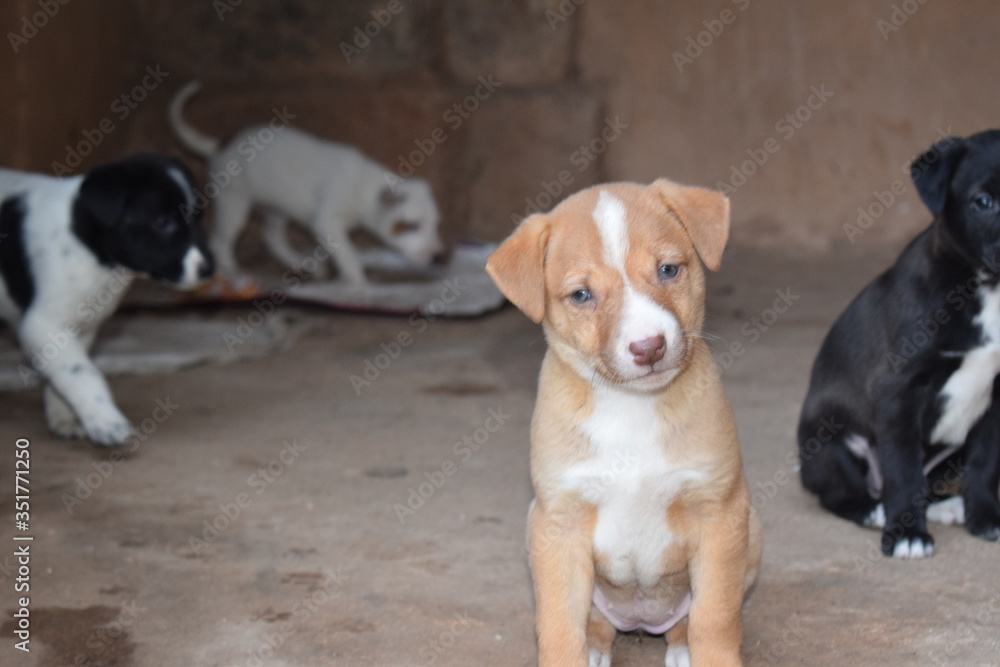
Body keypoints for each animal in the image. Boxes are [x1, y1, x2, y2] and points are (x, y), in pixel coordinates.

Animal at [170, 81, 444, 284]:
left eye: (435, 224)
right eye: (411, 226)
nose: (437, 258)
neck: (368, 188)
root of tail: (219, 148)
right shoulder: (326, 222)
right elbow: (348, 254)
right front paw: (358, 282)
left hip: (275, 209)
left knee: (272, 238)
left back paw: (301, 264)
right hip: (234, 204)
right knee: (220, 242)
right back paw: (231, 271)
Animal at [488, 180, 760, 664]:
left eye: (668, 269)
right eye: (581, 295)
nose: (648, 346)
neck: (632, 406)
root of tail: (642, 624)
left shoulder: (720, 511)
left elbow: (715, 616)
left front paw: (710, 655)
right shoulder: (557, 523)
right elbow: (558, 625)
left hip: (753, 528)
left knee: (690, 618)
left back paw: (680, 645)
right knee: (594, 621)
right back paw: (597, 647)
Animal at [800, 129, 1000, 560]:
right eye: (983, 201)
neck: (987, 288)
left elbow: (984, 462)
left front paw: (985, 517)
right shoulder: (898, 390)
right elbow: (903, 469)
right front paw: (906, 534)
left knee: (932, 482)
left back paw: (947, 505)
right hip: (832, 442)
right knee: (839, 494)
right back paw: (871, 509)